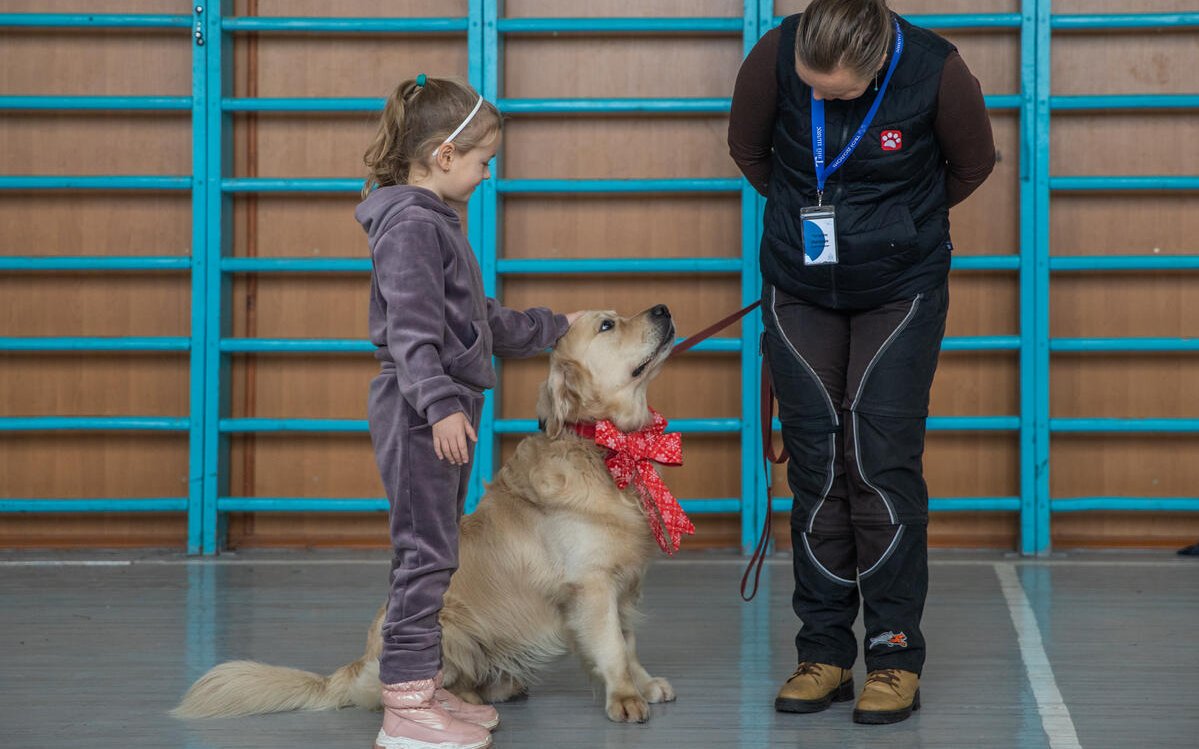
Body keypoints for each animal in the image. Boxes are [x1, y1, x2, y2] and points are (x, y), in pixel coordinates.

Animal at [175, 300, 685, 723]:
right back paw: (465, 701)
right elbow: (613, 646)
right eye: (607, 325)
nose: (663, 308)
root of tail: (358, 665)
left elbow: (628, 642)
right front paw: (625, 699)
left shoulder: (623, 586)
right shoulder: (592, 585)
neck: (602, 447)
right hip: (447, 625)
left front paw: (643, 684)